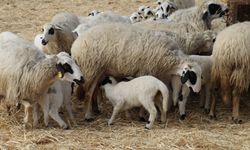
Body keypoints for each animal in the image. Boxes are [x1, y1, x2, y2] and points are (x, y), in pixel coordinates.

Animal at [69, 22, 202, 120]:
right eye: (193, 75)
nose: (197, 91)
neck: (170, 60)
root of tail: (75, 45)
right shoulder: (146, 70)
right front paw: (142, 115)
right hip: (91, 68)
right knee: (88, 93)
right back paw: (88, 115)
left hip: (99, 71)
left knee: (94, 91)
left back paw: (96, 109)